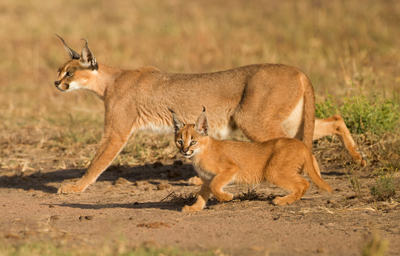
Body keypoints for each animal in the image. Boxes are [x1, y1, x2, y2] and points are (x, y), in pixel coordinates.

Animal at [170, 107, 332, 212]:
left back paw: (282, 200)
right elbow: (202, 194)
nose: (185, 150)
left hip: (272, 171)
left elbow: (215, 186)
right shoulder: (207, 179)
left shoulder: (231, 168)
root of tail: (301, 145)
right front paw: (194, 208)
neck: (199, 154)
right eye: (180, 141)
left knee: (304, 183)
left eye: (193, 142)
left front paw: (226, 197)